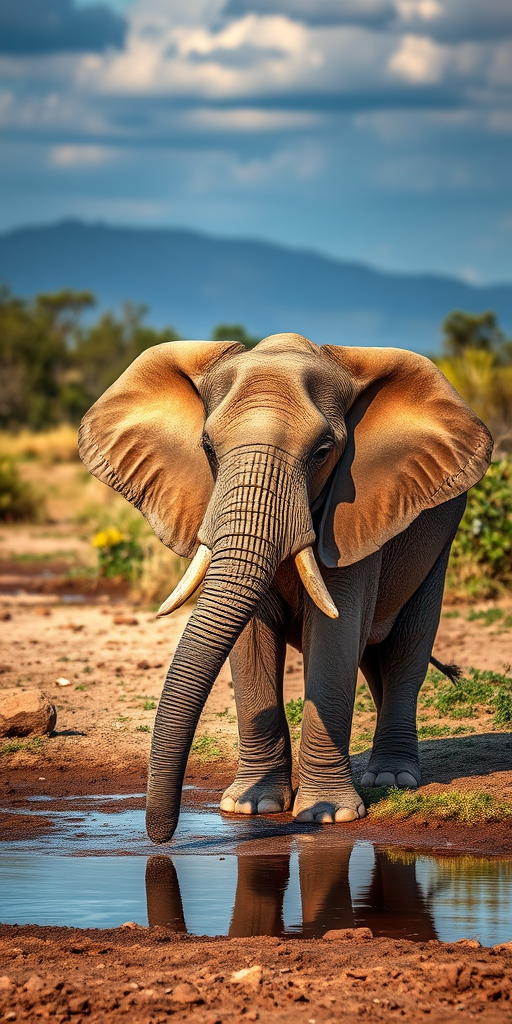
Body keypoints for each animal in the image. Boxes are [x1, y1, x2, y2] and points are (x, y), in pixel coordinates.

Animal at [78, 332, 492, 844]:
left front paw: (327, 815)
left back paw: (392, 780)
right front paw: (250, 807)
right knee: (374, 654)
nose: (160, 837)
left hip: (440, 535)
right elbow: (252, 637)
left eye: (323, 451)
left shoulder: (348, 515)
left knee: (404, 648)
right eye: (207, 447)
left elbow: (334, 635)